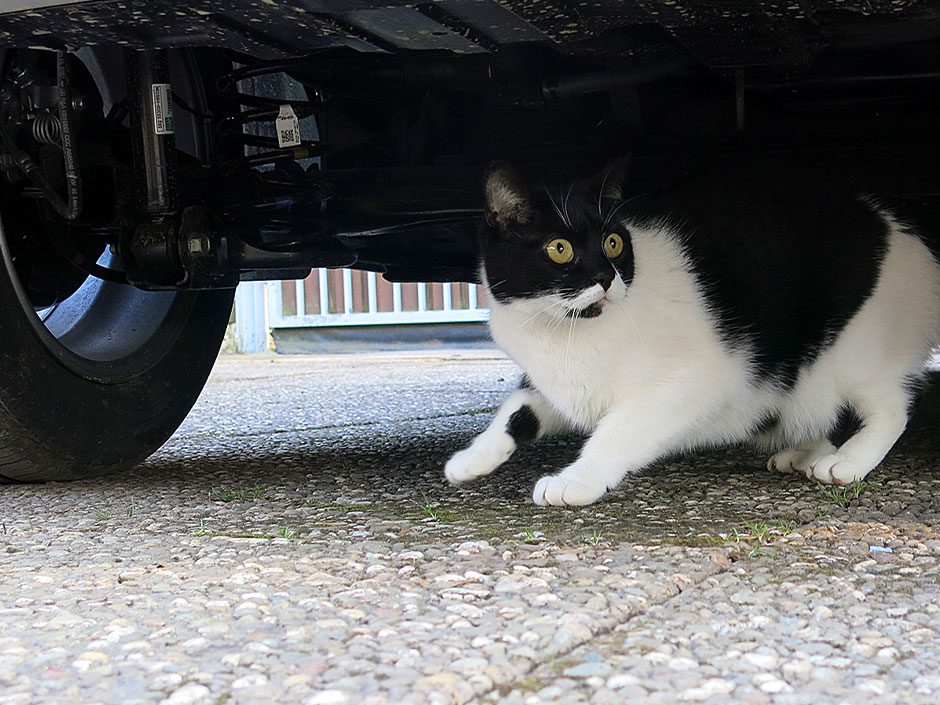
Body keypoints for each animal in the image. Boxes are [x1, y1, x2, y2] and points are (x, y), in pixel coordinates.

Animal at [444, 157, 940, 504]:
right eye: (559, 249)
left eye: (613, 243)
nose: (606, 278)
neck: (562, 333)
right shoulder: (558, 382)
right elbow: (517, 410)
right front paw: (471, 459)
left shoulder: (690, 382)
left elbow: (618, 431)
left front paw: (577, 480)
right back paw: (805, 451)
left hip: (853, 349)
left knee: (892, 404)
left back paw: (848, 461)